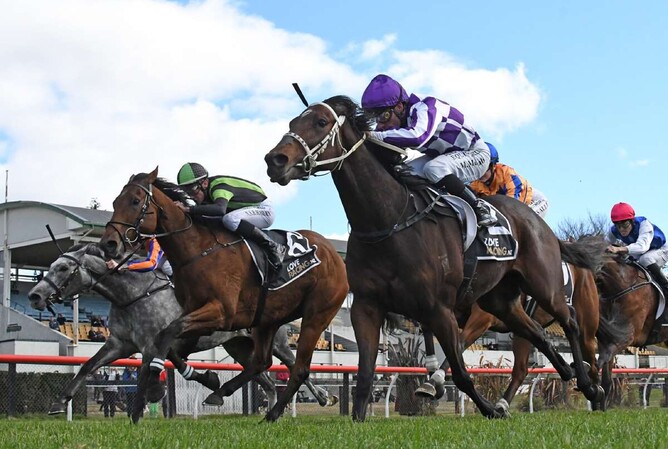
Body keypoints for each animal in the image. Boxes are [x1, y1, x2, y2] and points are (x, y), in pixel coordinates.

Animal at [27, 243, 337, 415]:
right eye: (50, 266)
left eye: (63, 268)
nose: (35, 296)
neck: (132, 294)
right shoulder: (120, 344)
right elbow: (88, 365)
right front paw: (59, 402)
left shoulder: (154, 344)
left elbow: (151, 373)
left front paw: (145, 405)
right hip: (238, 347)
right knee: (264, 377)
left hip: (279, 343)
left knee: (293, 365)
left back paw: (323, 397)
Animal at [98, 170, 348, 423]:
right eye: (115, 202)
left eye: (135, 201)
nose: (108, 244)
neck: (197, 250)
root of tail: (333, 254)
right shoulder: (195, 314)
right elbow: (170, 342)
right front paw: (202, 378)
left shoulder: (221, 312)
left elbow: (169, 333)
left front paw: (154, 385)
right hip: (266, 320)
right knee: (261, 362)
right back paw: (222, 394)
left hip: (316, 316)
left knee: (299, 368)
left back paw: (276, 413)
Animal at [416, 258, 608, 411]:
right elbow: (429, 332)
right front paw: (433, 377)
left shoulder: (482, 318)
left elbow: (460, 344)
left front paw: (434, 380)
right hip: (522, 329)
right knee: (521, 369)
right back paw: (502, 405)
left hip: (586, 325)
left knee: (590, 356)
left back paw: (595, 393)